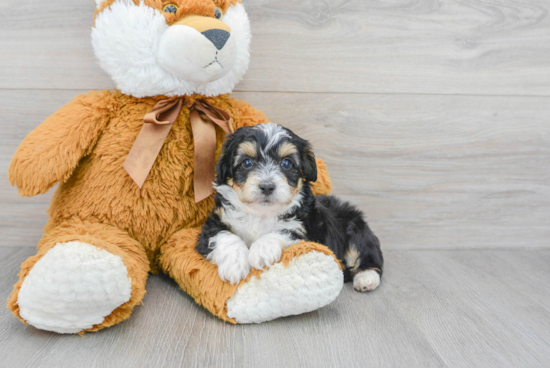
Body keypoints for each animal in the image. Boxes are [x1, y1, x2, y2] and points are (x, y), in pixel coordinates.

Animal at [197, 125, 384, 292]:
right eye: (247, 162)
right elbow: (225, 236)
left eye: (286, 163)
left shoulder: (304, 230)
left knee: (368, 257)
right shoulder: (213, 224)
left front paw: (261, 250)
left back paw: (366, 279)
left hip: (356, 230)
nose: (267, 186)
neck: (261, 213)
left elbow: (283, 231)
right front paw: (234, 264)